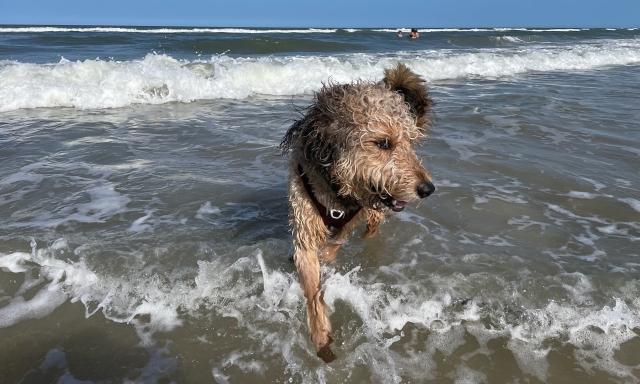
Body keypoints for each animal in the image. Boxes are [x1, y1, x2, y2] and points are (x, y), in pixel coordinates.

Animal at [280, 62, 436, 360]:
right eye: (384, 143)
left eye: (411, 143)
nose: (428, 189)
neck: (336, 191)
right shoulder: (305, 229)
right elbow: (312, 289)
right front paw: (320, 334)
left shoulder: (346, 226)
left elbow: (332, 248)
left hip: (372, 217)